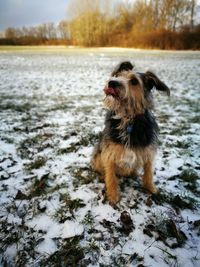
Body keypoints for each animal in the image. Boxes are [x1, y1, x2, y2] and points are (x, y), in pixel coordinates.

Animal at [91, 62, 170, 205]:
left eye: (134, 81)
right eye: (118, 75)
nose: (112, 82)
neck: (128, 119)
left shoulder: (148, 151)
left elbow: (148, 172)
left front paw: (150, 189)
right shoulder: (109, 153)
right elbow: (110, 176)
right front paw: (113, 196)